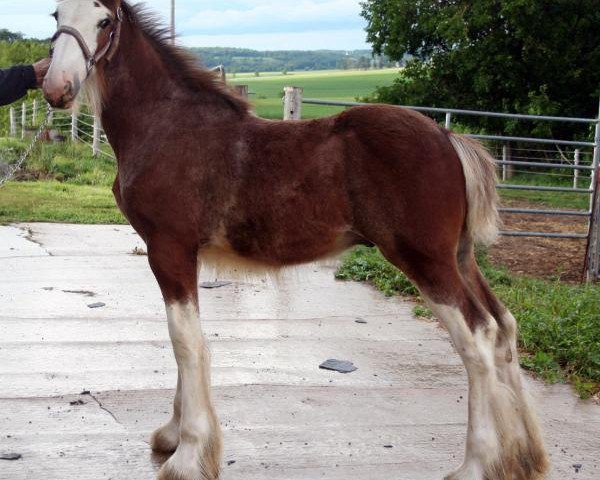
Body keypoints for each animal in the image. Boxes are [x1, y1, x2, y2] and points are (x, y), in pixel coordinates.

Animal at [42, 1, 548, 478]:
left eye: (105, 21)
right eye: (55, 14)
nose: (56, 88)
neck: (167, 125)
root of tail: (448, 137)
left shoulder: (169, 248)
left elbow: (185, 342)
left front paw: (187, 456)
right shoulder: (183, 254)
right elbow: (189, 339)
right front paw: (172, 434)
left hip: (426, 261)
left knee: (477, 340)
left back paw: (477, 465)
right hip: (460, 257)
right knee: (503, 327)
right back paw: (525, 457)